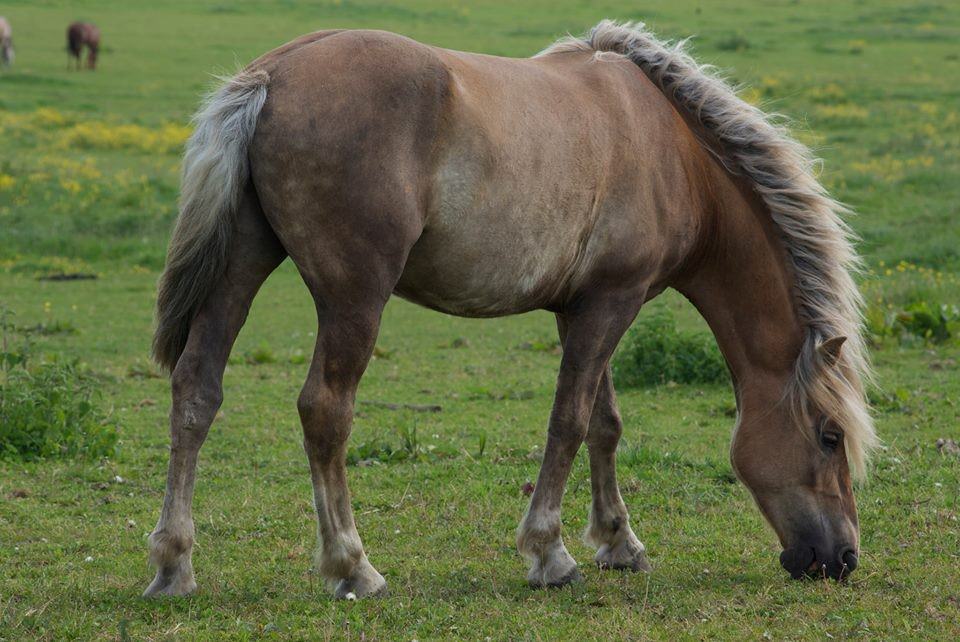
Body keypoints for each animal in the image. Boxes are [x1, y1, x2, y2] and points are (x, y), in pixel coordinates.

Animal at [144, 21, 876, 600]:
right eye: (829, 436)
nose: (843, 558)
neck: (674, 151)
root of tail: (271, 76)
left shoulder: (584, 305)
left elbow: (605, 424)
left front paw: (619, 541)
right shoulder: (612, 302)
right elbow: (569, 422)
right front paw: (550, 553)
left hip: (241, 264)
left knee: (197, 391)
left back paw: (174, 566)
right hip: (354, 299)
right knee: (325, 411)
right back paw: (353, 566)